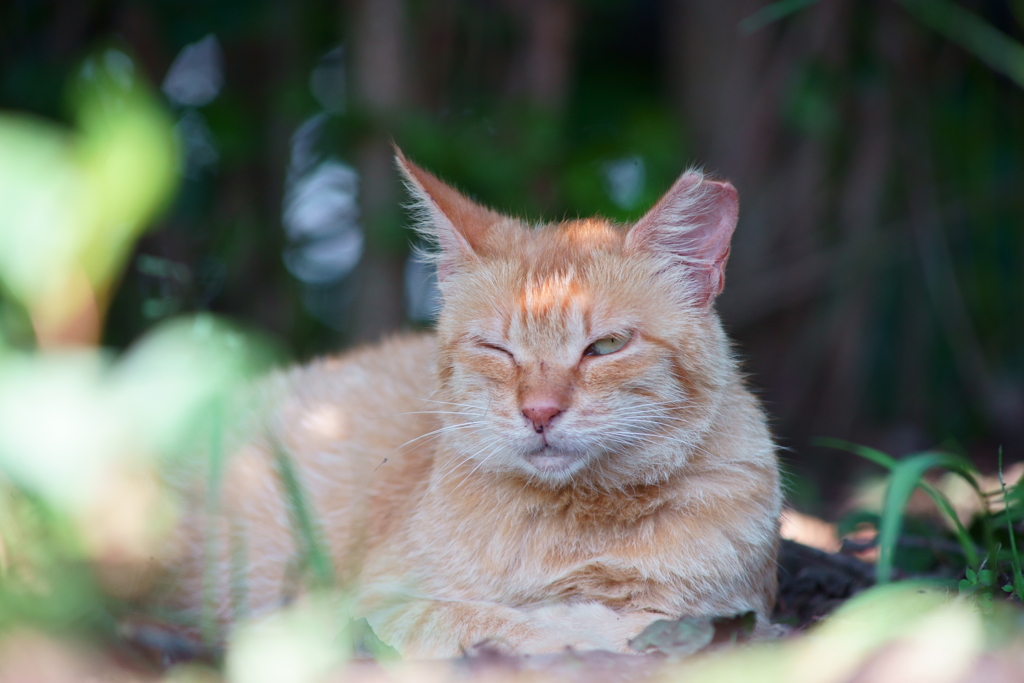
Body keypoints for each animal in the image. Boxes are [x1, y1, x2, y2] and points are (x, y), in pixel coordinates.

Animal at [161, 148, 782, 655]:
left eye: (607, 346)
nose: (539, 412)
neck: (575, 520)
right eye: (495, 348)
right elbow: (498, 622)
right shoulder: (365, 607)